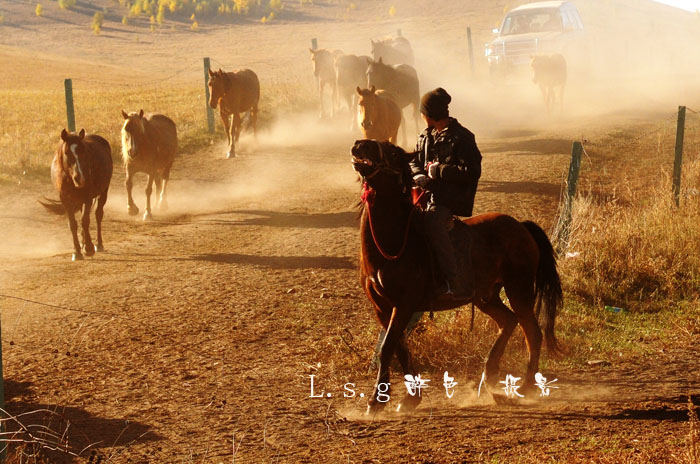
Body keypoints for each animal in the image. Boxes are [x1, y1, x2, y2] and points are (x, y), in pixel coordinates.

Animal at [40, 129, 113, 262]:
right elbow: (73, 224)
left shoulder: (87, 197)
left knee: (98, 214)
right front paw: (77, 251)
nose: (80, 178)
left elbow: (85, 221)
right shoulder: (65, 200)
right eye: (66, 152)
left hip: (103, 192)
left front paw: (88, 248)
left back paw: (98, 244)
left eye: (83, 151)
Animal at [350, 140, 564, 416]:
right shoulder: (382, 308)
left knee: (532, 332)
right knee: (508, 321)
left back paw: (525, 387)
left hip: (519, 289)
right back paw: (489, 378)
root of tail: (521, 226)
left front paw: (376, 401)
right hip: (486, 296)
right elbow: (399, 348)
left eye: (393, 152)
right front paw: (410, 398)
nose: (359, 144)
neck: (395, 244)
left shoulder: (404, 305)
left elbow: (387, 348)